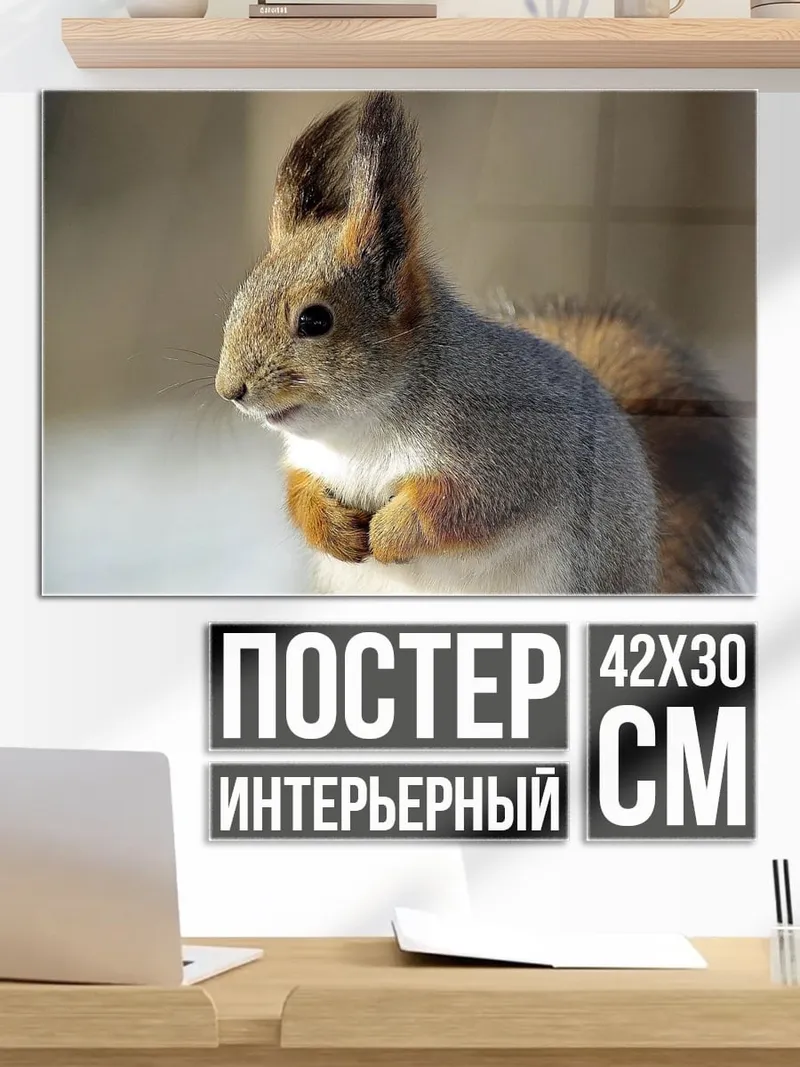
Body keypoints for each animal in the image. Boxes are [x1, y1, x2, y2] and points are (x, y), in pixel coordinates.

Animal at [216, 91, 752, 596]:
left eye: (314, 320)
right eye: (242, 295)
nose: (230, 390)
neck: (359, 433)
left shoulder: (512, 456)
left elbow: (460, 508)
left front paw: (390, 532)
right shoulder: (307, 462)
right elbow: (299, 494)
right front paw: (333, 530)